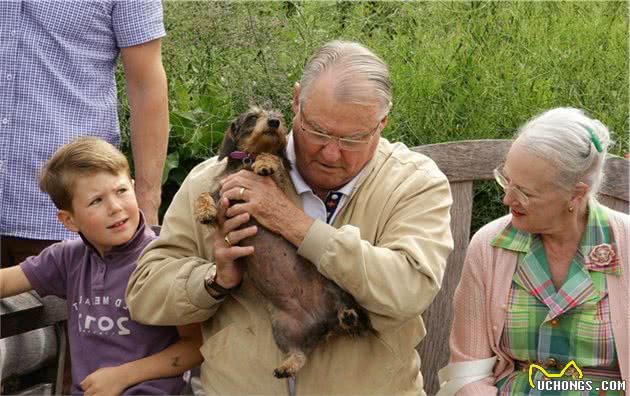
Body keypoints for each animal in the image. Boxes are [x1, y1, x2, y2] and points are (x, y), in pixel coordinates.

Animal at [195, 106, 372, 378]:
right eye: (252, 117)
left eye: (276, 114)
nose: (274, 122)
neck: (246, 163)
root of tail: (324, 323)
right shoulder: (221, 196)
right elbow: (204, 194)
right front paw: (204, 212)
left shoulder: (276, 185)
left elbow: (274, 160)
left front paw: (265, 162)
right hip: (282, 329)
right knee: (299, 354)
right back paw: (287, 366)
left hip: (333, 284)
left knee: (346, 305)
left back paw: (349, 315)